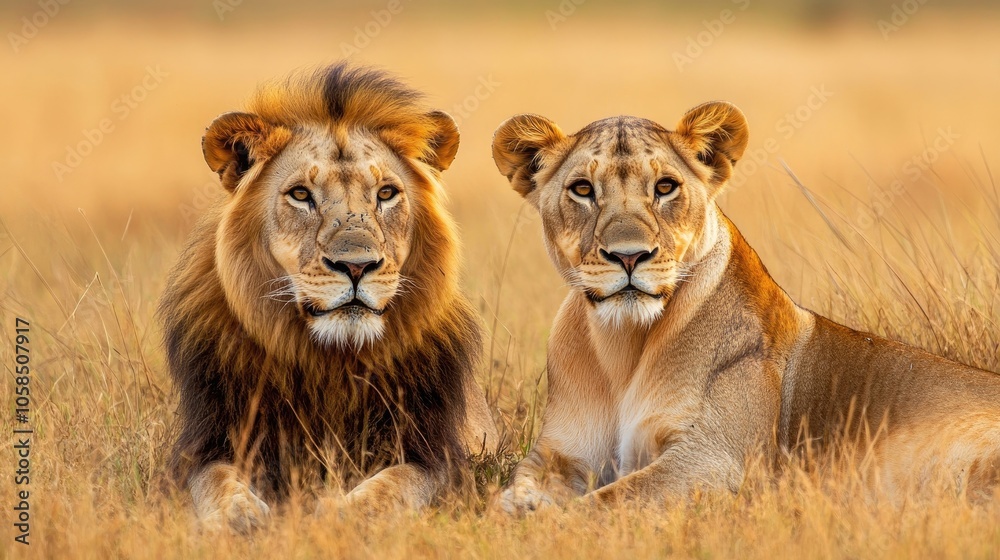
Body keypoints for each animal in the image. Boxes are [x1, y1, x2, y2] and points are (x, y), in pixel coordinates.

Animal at [159, 63, 498, 532]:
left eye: (386, 193)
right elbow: (216, 482)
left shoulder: (438, 457)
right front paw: (241, 519)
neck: (332, 360)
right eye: (301, 195)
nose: (356, 266)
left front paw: (341, 514)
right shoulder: (208, 445)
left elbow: (395, 485)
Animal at [490, 102, 1000, 514]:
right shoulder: (560, 454)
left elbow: (606, 503)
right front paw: (516, 512)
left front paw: (544, 524)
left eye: (665, 187)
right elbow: (509, 495)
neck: (623, 346)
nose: (629, 256)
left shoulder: (716, 458)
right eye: (581, 190)